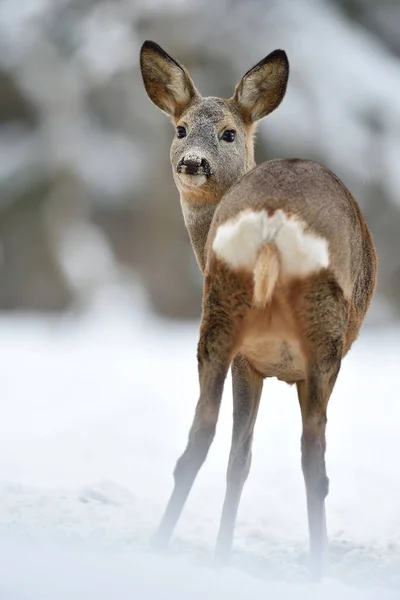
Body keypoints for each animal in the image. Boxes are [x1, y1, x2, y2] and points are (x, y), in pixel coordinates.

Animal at [139, 41, 376, 576]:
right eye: (180, 129)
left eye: (229, 133)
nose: (192, 162)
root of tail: (271, 220)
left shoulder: (251, 362)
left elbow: (239, 456)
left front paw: (222, 553)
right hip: (323, 336)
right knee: (312, 455)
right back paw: (317, 570)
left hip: (220, 318)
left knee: (202, 435)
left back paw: (162, 546)